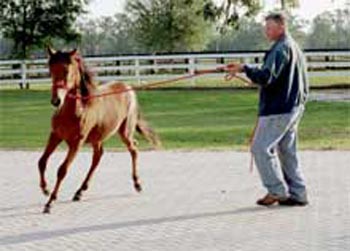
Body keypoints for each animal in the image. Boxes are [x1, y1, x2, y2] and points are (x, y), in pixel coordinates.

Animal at [38, 47, 159, 214]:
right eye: (50, 70)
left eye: (67, 70)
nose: (56, 100)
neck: (76, 109)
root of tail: (129, 88)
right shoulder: (55, 135)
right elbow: (42, 162)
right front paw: (45, 189)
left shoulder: (76, 142)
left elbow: (62, 170)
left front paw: (50, 202)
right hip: (98, 137)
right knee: (98, 156)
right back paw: (80, 191)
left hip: (125, 132)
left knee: (133, 149)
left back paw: (137, 184)